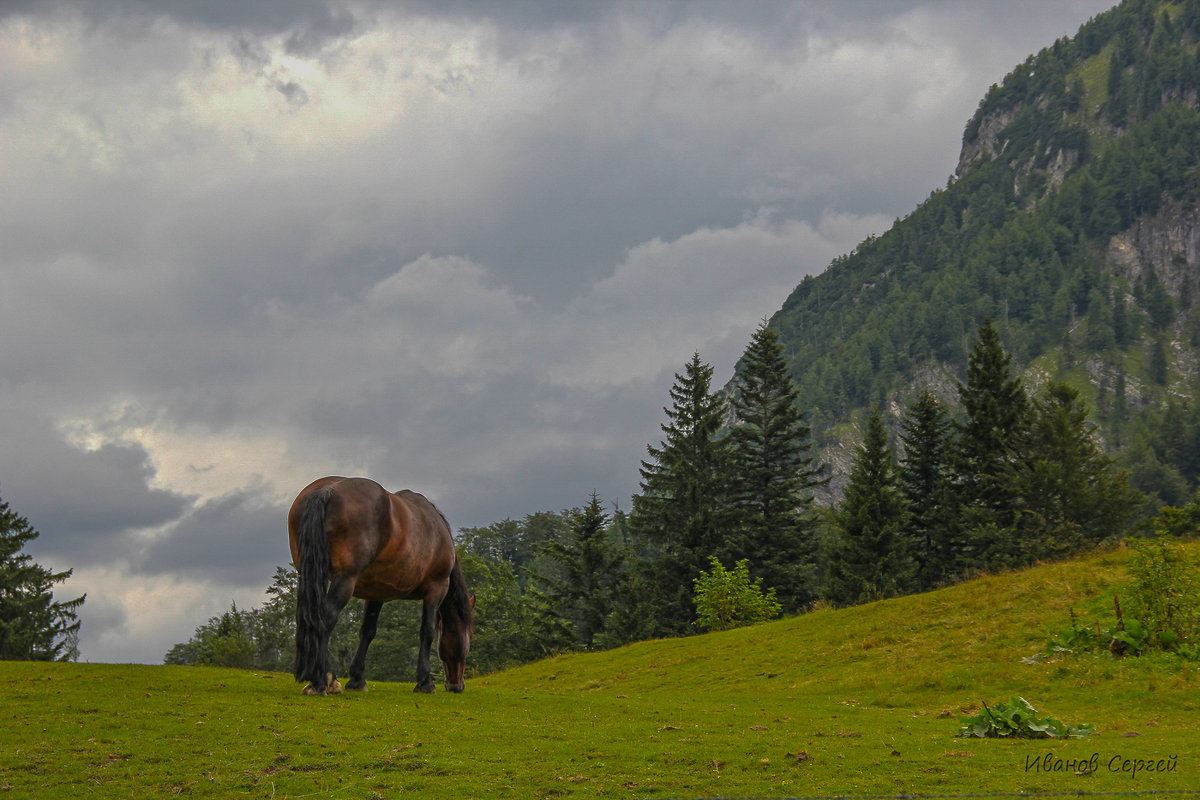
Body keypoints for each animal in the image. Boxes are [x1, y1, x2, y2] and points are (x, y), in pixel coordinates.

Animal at [289, 474, 472, 695]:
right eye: (468, 641)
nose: (456, 685)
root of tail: (327, 490)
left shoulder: (375, 594)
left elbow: (367, 632)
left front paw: (357, 679)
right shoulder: (436, 589)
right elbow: (426, 632)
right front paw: (425, 682)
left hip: (308, 575)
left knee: (310, 618)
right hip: (345, 580)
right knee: (326, 619)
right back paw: (322, 681)